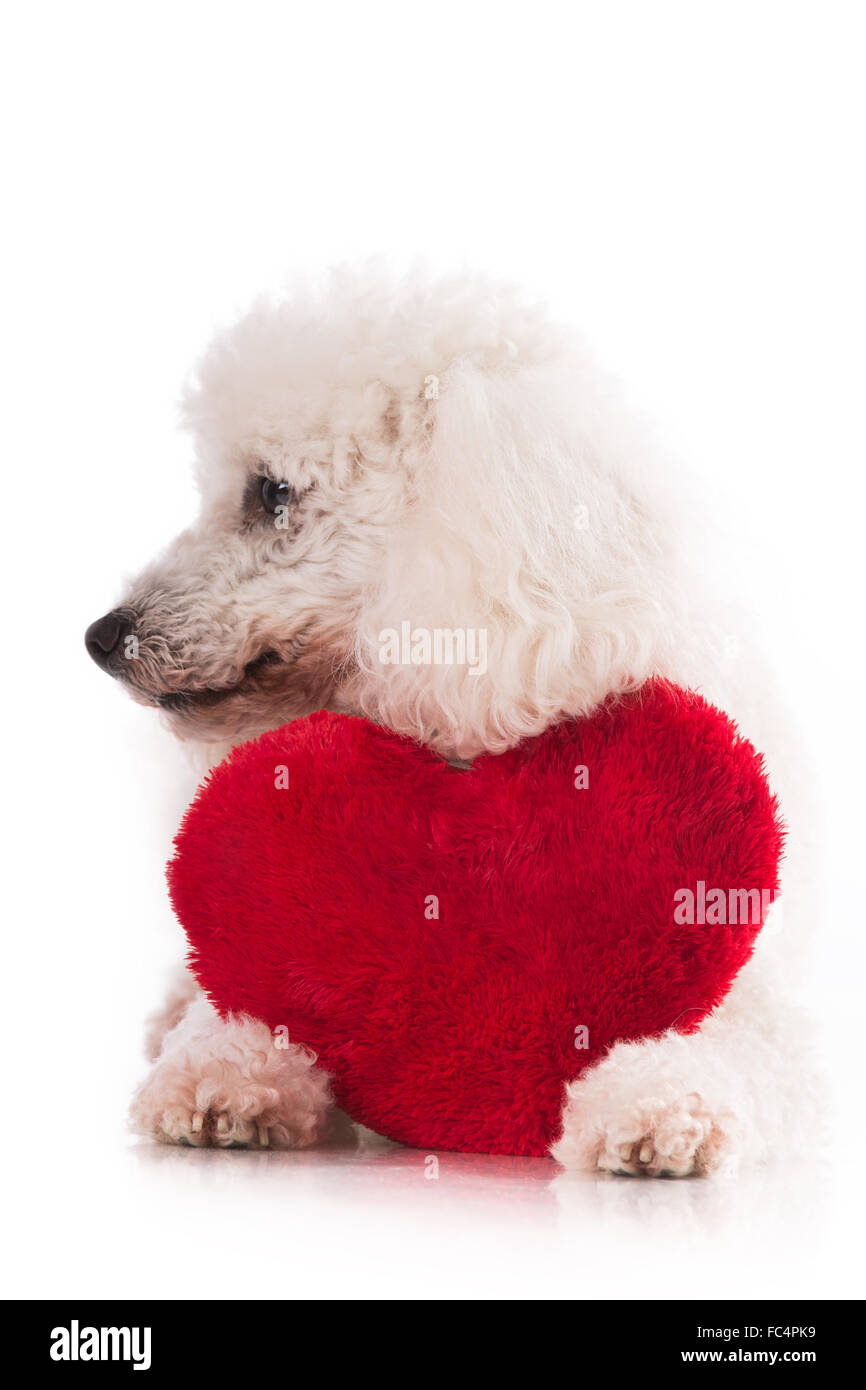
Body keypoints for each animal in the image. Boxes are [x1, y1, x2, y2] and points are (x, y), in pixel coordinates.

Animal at [84, 262, 811, 1173]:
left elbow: (734, 1050)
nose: (102, 637)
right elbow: (245, 1009)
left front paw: (661, 1108)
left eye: (272, 492)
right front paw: (222, 1072)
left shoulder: (755, 987)